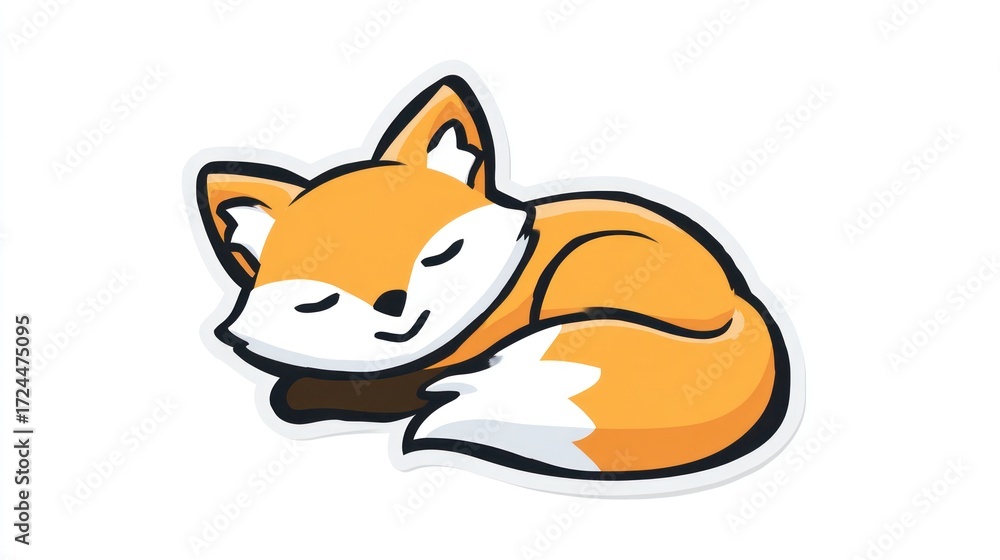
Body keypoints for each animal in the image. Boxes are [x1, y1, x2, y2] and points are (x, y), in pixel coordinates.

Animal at [191, 65, 803, 496]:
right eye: (321, 300)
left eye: (440, 254)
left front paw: (315, 393)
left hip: (586, 263)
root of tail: (741, 300)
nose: (393, 302)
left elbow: (392, 391)